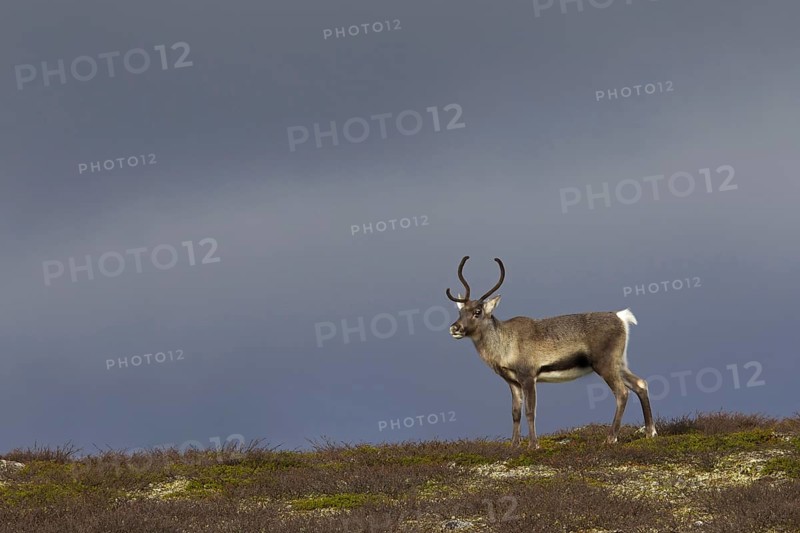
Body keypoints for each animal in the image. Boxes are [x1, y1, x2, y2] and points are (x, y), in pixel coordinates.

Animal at [445, 256, 657, 449]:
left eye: (478, 311)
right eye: (460, 312)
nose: (455, 328)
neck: (503, 345)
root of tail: (622, 317)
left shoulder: (528, 376)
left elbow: (530, 411)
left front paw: (533, 445)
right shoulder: (512, 381)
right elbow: (515, 413)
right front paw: (514, 446)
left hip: (604, 364)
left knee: (622, 392)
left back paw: (611, 438)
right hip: (619, 363)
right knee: (640, 383)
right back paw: (650, 432)